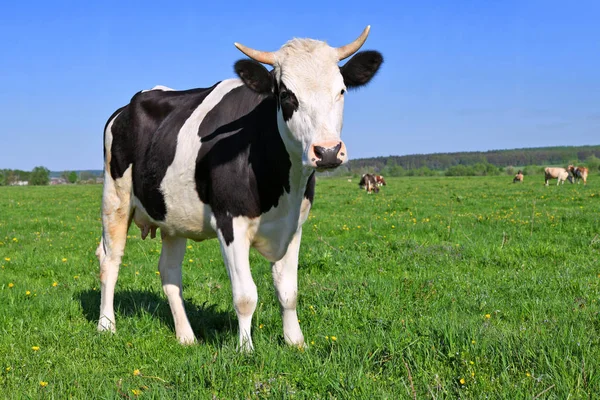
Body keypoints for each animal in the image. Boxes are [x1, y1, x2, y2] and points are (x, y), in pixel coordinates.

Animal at [95, 26, 382, 350]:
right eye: (287, 95)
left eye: (341, 91)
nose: (328, 151)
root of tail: (130, 104)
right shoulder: (231, 222)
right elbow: (245, 295)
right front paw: (245, 349)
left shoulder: (294, 225)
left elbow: (288, 291)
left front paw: (296, 342)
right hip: (114, 198)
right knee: (109, 260)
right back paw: (106, 326)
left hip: (172, 217)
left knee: (169, 272)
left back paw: (186, 336)